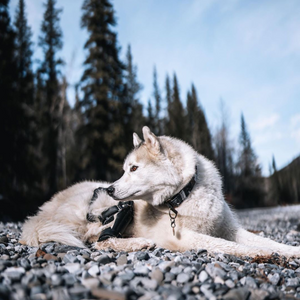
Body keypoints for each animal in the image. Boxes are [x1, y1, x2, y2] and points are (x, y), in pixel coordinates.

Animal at [94, 126, 300, 258]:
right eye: (125, 170)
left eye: (134, 168)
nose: (110, 189)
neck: (185, 194)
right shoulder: (185, 237)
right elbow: (227, 244)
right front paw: (262, 252)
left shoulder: (230, 229)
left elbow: (267, 241)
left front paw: (291, 251)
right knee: (101, 241)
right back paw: (138, 242)